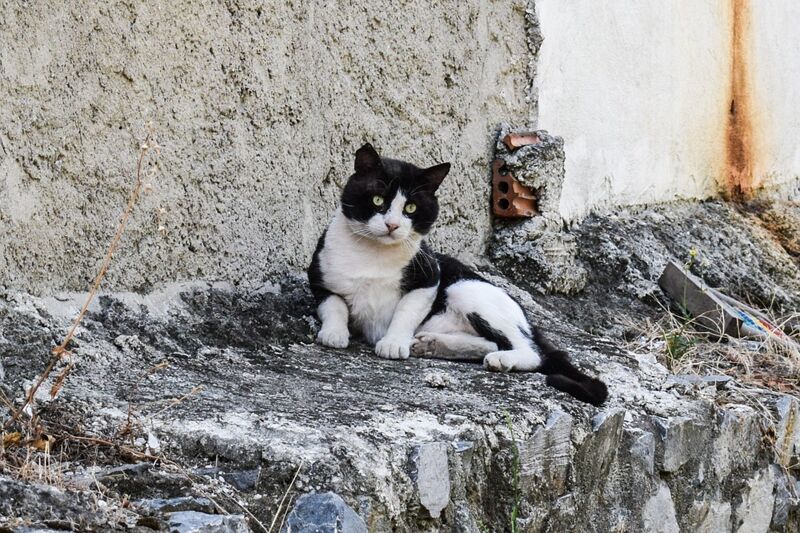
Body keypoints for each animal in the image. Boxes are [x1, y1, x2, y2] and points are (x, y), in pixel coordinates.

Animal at [306, 143, 608, 406]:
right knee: (491, 342)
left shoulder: (430, 277)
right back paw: (433, 345)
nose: (392, 225)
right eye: (377, 200)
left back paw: (502, 359)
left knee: (532, 352)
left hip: (464, 288)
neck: (373, 255)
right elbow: (334, 305)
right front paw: (334, 333)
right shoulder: (319, 279)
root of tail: (530, 322)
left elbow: (405, 312)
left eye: (411, 208)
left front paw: (392, 343)